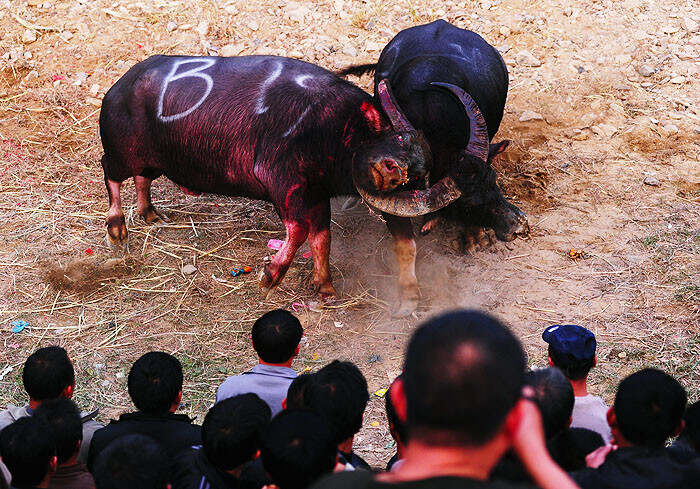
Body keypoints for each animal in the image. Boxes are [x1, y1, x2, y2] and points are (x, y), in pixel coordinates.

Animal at [95, 55, 454, 310]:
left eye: (421, 173)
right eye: (395, 151)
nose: (395, 173)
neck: (333, 131)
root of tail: (120, 87)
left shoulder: (317, 195)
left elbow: (321, 238)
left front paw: (325, 286)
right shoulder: (284, 185)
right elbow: (299, 230)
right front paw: (270, 277)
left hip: (151, 161)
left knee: (142, 178)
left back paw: (149, 213)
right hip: (121, 153)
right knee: (110, 174)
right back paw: (117, 228)